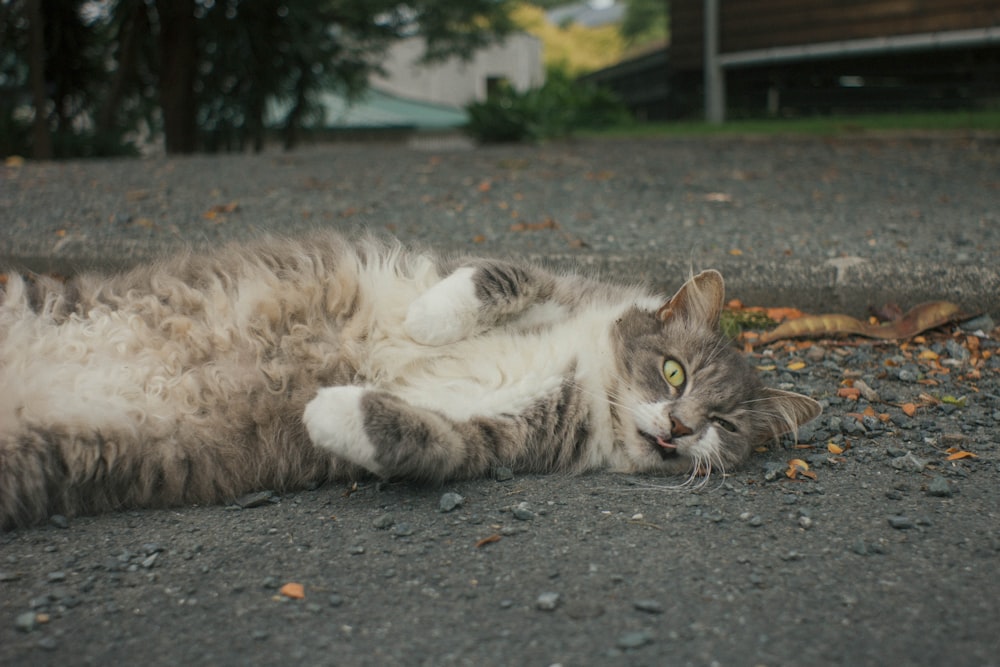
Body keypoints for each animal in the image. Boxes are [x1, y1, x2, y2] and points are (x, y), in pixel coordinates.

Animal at [0, 232, 820, 528]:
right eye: (675, 371)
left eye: (726, 425)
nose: (682, 429)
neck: (590, 375)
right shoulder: (552, 283)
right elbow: (497, 276)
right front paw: (428, 321)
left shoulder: (504, 436)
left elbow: (426, 440)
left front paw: (328, 408)